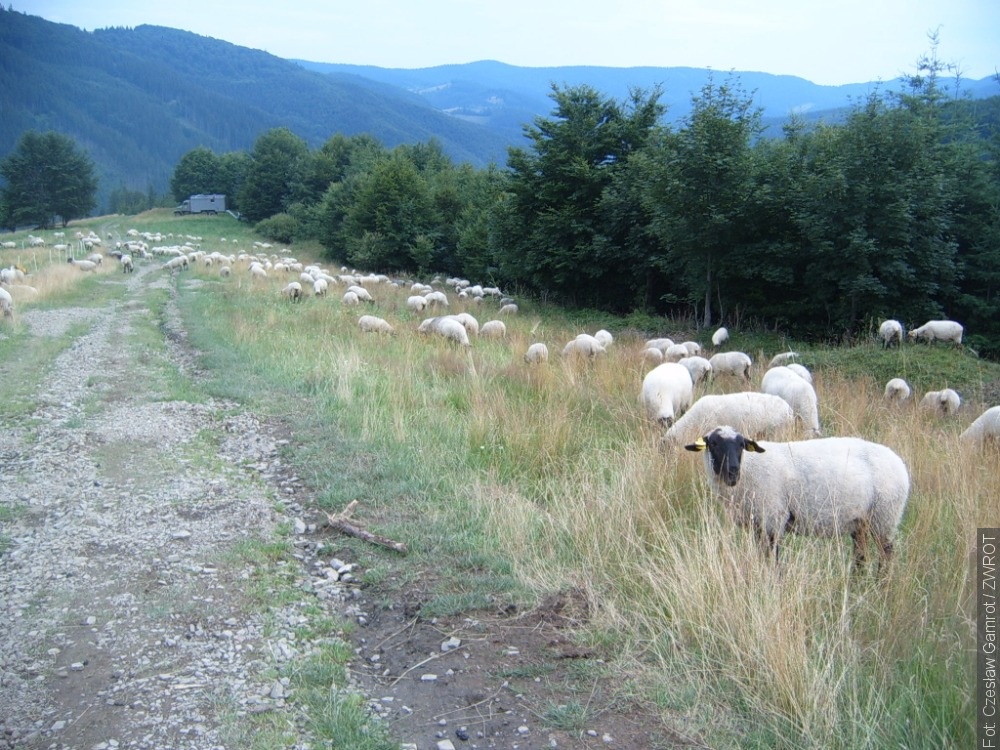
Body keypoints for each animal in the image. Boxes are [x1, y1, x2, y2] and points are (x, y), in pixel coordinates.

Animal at [684, 426, 912, 572]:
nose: (732, 472)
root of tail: (899, 463)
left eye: (741, 445)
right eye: (714, 443)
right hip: (861, 521)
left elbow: (773, 560)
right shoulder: (758, 524)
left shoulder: (773, 519)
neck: (750, 468)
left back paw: (881, 587)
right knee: (861, 556)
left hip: (884, 516)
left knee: (887, 555)